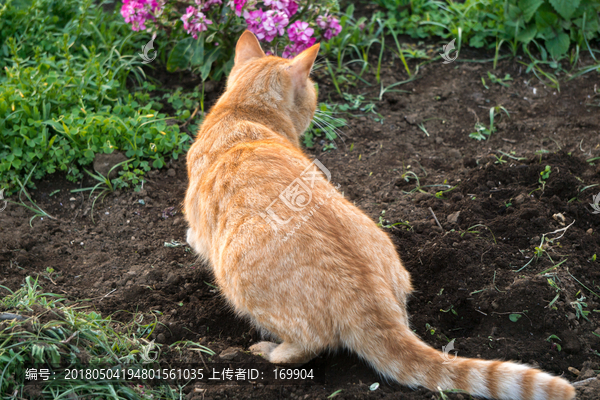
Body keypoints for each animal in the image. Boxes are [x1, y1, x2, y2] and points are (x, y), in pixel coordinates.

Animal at [184, 31, 576, 400]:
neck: (241, 111)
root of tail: (367, 293)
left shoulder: (200, 227)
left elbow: (194, 237)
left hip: (236, 278)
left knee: (308, 347)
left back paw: (269, 351)